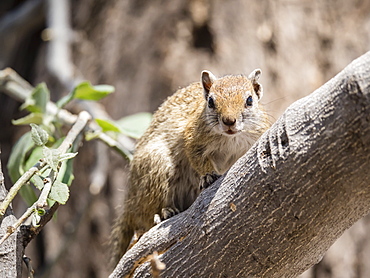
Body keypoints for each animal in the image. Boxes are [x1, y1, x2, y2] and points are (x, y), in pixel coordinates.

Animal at [109, 68, 268, 266]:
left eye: (249, 100)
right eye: (210, 101)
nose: (229, 121)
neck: (231, 138)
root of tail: (129, 204)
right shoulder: (192, 138)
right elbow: (197, 159)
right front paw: (208, 176)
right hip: (157, 167)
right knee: (147, 215)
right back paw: (164, 213)